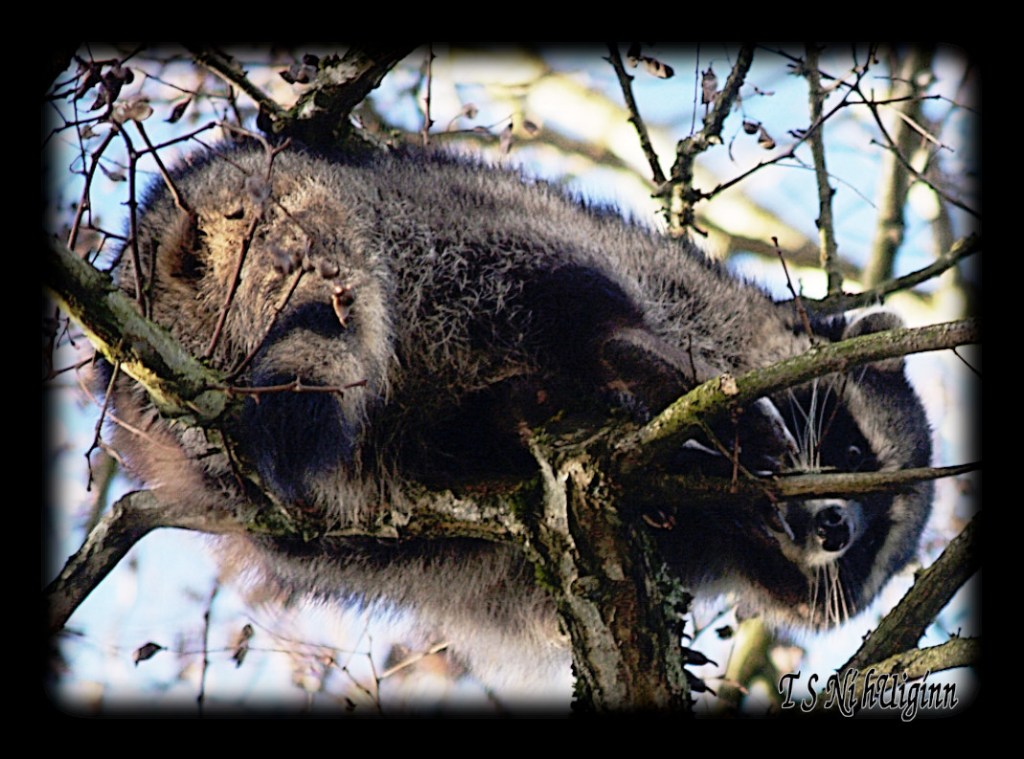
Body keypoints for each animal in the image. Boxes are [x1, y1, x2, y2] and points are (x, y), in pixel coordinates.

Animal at [103, 143, 932, 694]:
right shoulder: (686, 290)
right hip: (440, 225)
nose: (836, 529)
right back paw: (623, 355)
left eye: (868, 552)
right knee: (555, 278)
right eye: (851, 449)